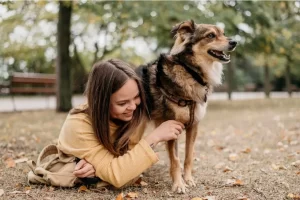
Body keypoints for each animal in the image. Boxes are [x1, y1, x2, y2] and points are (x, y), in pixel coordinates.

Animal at [136, 19, 237, 193]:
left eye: (223, 33)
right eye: (211, 35)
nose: (234, 42)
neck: (191, 72)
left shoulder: (194, 125)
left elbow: (189, 156)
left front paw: (188, 180)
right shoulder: (171, 127)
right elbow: (175, 159)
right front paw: (178, 184)